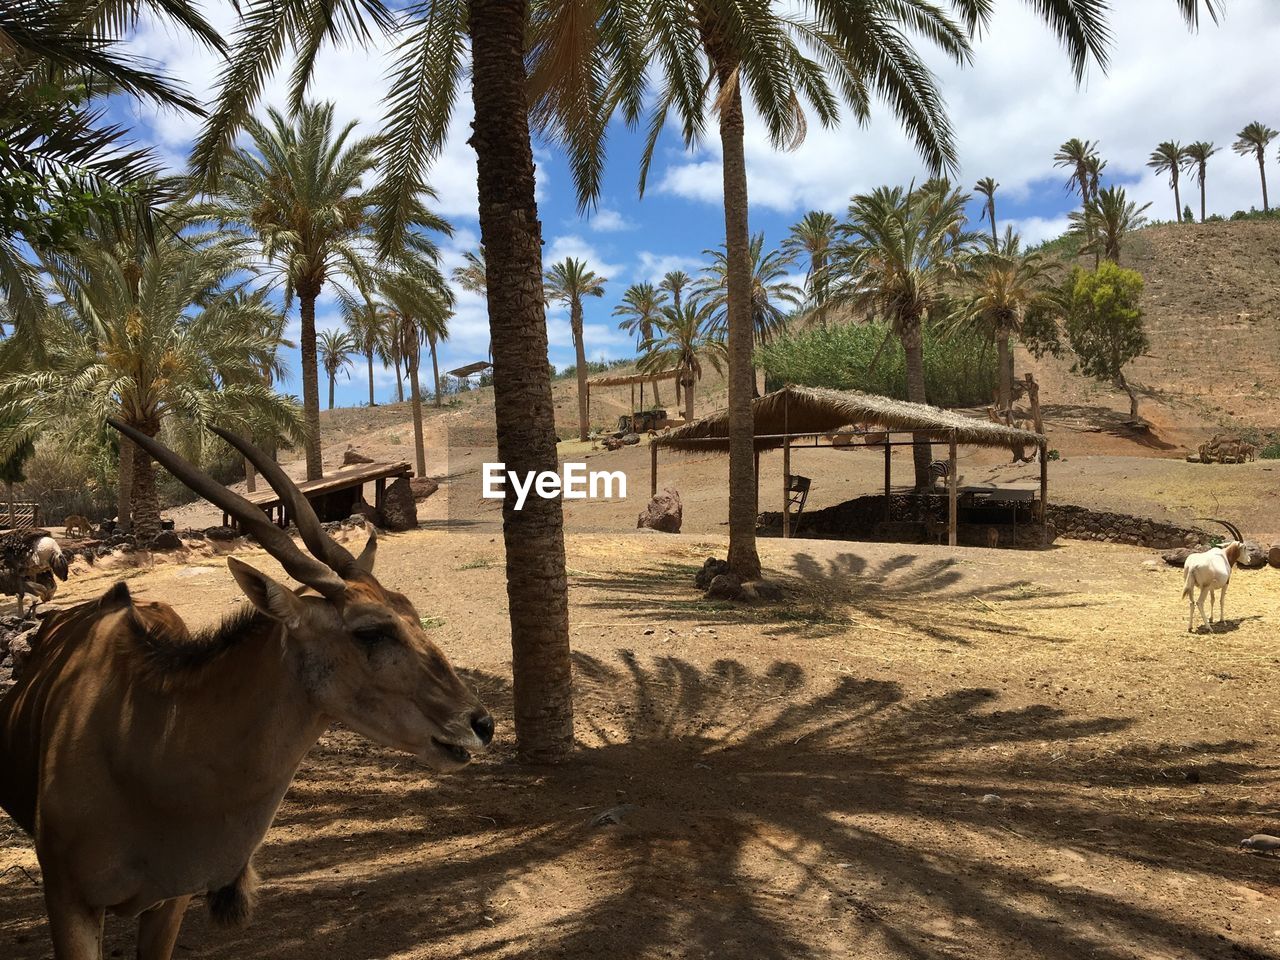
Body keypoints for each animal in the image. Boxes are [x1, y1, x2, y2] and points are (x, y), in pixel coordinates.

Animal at [0, 424, 491, 960]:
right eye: (370, 631)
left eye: (412, 612)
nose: (480, 723)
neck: (144, 742)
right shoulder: (69, 901)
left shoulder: (170, 902)